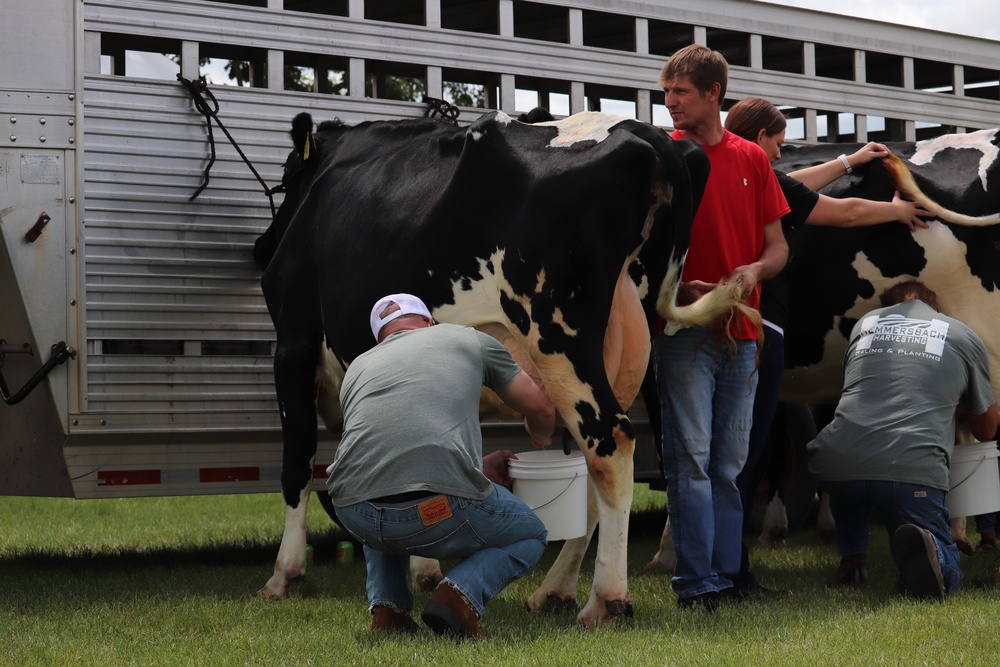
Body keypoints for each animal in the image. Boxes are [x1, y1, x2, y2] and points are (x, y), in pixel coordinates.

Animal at [258, 109, 752, 628]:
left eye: (288, 173)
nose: (260, 247)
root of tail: (648, 134)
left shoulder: (292, 343)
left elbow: (296, 464)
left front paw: (284, 575)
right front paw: (425, 567)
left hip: (556, 333)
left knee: (610, 443)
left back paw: (605, 599)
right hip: (639, 345)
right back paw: (555, 589)